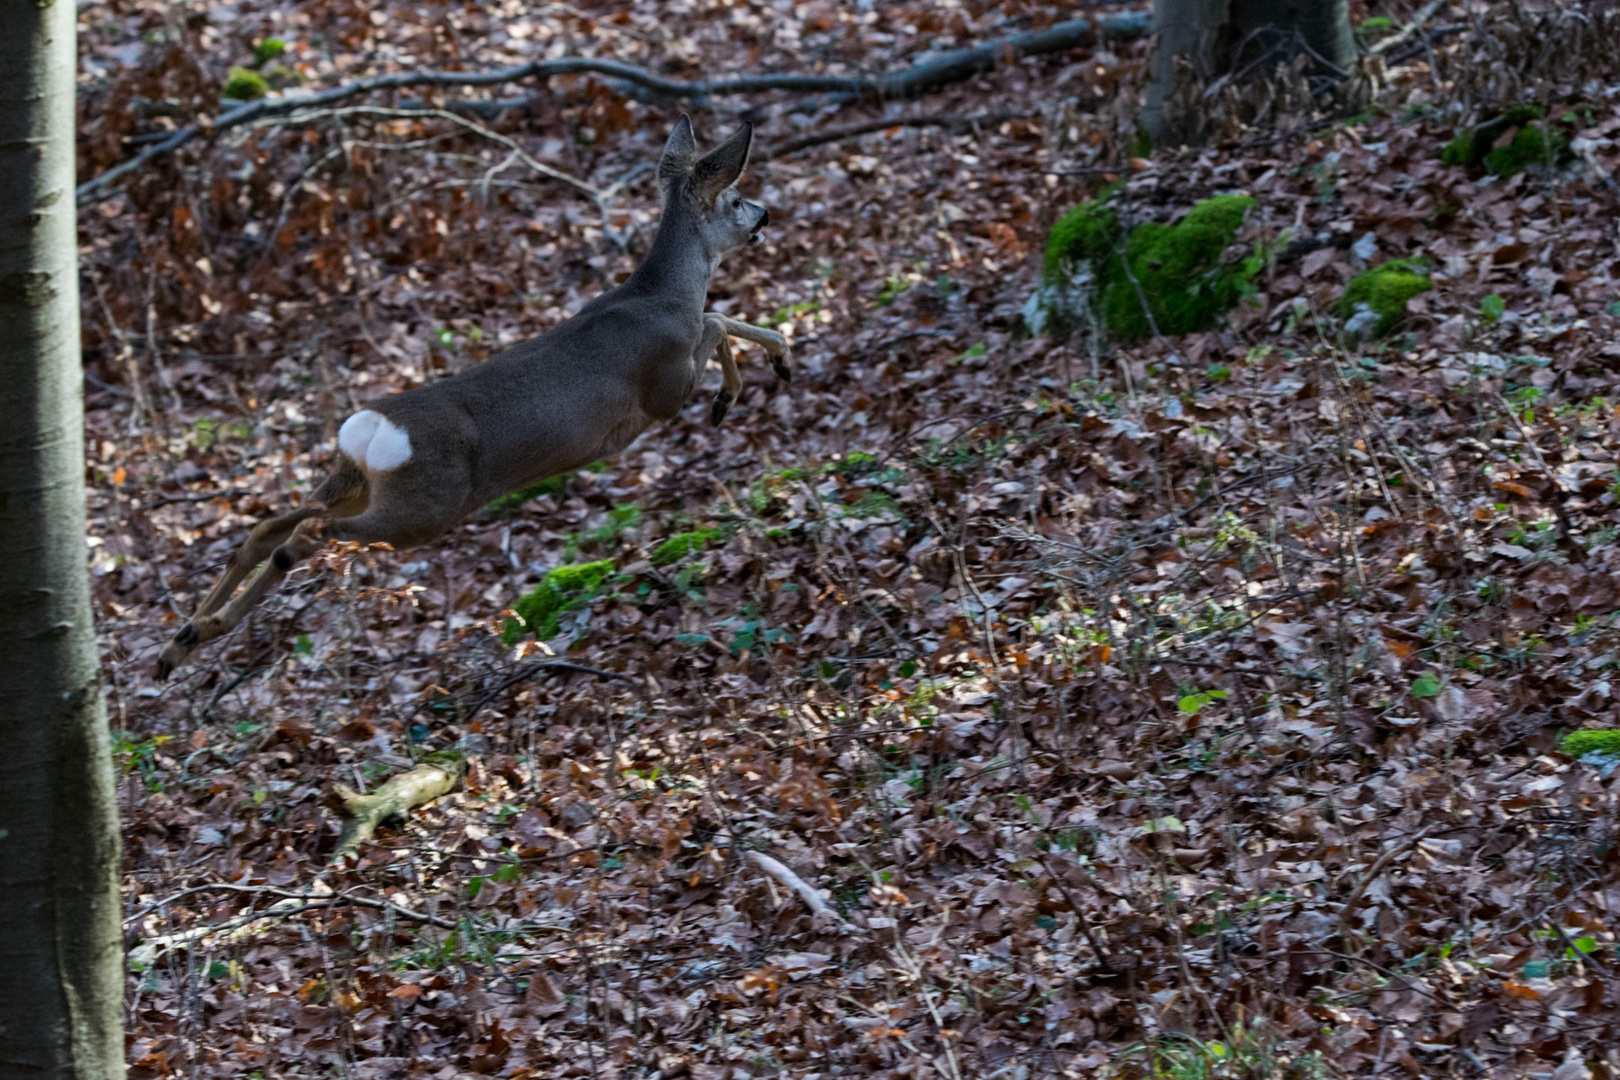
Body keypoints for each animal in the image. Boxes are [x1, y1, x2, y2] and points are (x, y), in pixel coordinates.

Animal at [157, 116, 790, 676]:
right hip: (425, 509)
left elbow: (721, 318)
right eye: (735, 197)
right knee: (302, 537)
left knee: (269, 528)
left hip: (355, 483)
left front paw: (773, 363)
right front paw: (749, 382)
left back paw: (184, 641)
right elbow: (718, 320)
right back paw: (197, 635)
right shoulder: (664, 386)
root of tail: (372, 431)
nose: (766, 212)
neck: (664, 294)